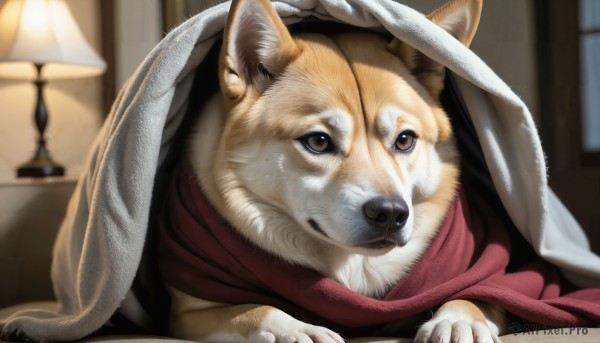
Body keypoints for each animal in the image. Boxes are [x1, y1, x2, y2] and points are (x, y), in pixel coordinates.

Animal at [165, 0, 506, 342]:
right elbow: (254, 310)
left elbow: (480, 293)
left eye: (404, 140)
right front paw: (297, 329)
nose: (390, 213)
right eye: (318, 141)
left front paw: (459, 320)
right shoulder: (187, 311)